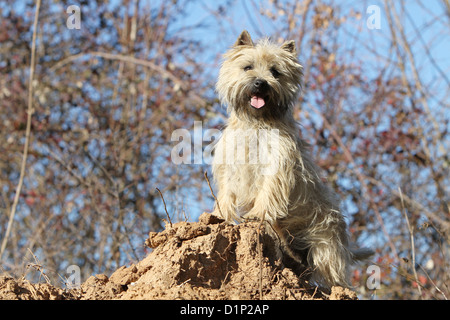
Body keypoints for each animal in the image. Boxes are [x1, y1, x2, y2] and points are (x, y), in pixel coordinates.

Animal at [212, 30, 372, 290]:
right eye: (247, 67)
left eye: (275, 72)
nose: (261, 82)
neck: (256, 123)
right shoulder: (230, 167)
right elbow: (225, 195)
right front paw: (218, 216)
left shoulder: (277, 166)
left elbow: (267, 193)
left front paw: (256, 214)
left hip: (326, 249)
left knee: (336, 276)